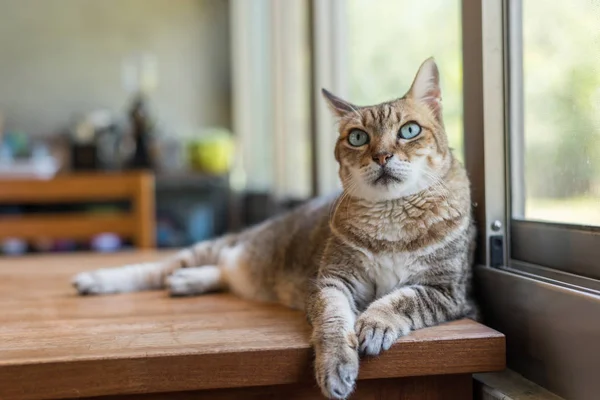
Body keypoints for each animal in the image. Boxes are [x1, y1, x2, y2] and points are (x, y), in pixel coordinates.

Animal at [74, 57, 478, 398]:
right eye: (358, 137)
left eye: (409, 130)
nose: (381, 156)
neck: (391, 217)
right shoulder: (332, 282)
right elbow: (333, 323)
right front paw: (336, 366)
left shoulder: (448, 292)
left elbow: (401, 298)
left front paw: (375, 324)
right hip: (215, 247)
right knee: (157, 268)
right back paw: (99, 280)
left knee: (218, 273)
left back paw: (189, 281)